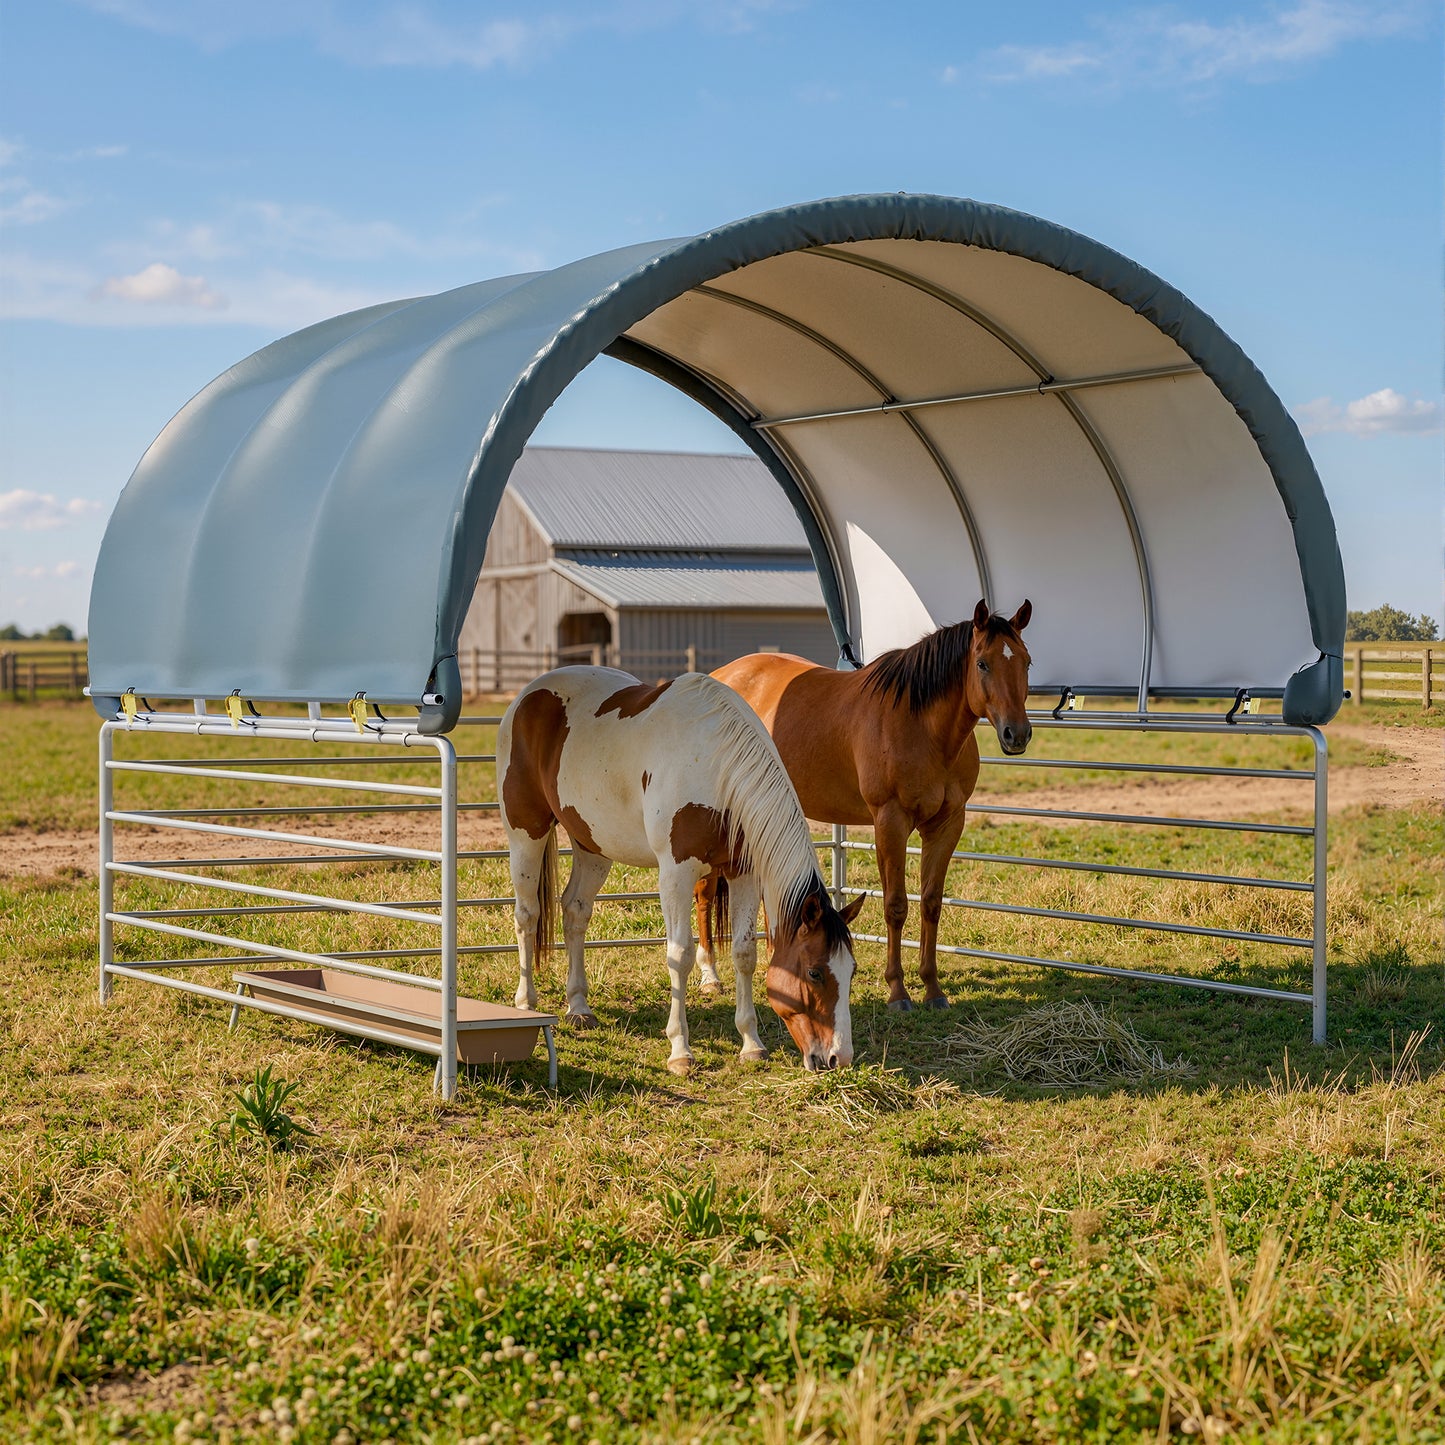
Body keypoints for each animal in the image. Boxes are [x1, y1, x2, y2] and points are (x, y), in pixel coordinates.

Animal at [497, 666, 867, 1075]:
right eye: (815, 972)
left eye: (850, 970)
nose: (838, 1057)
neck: (716, 764)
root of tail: (528, 694)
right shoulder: (675, 872)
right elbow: (680, 955)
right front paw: (680, 1050)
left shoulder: (742, 872)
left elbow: (744, 952)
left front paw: (751, 1043)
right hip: (525, 831)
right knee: (527, 914)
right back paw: (526, 1003)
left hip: (592, 844)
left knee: (575, 910)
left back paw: (579, 1006)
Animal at [695, 599, 1034, 1012]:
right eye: (983, 663)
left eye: (1026, 662)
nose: (1017, 734)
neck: (921, 726)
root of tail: (720, 677)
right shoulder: (890, 821)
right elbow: (896, 905)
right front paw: (898, 992)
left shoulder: (947, 823)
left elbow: (931, 902)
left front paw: (933, 988)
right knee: (704, 893)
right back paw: (710, 976)